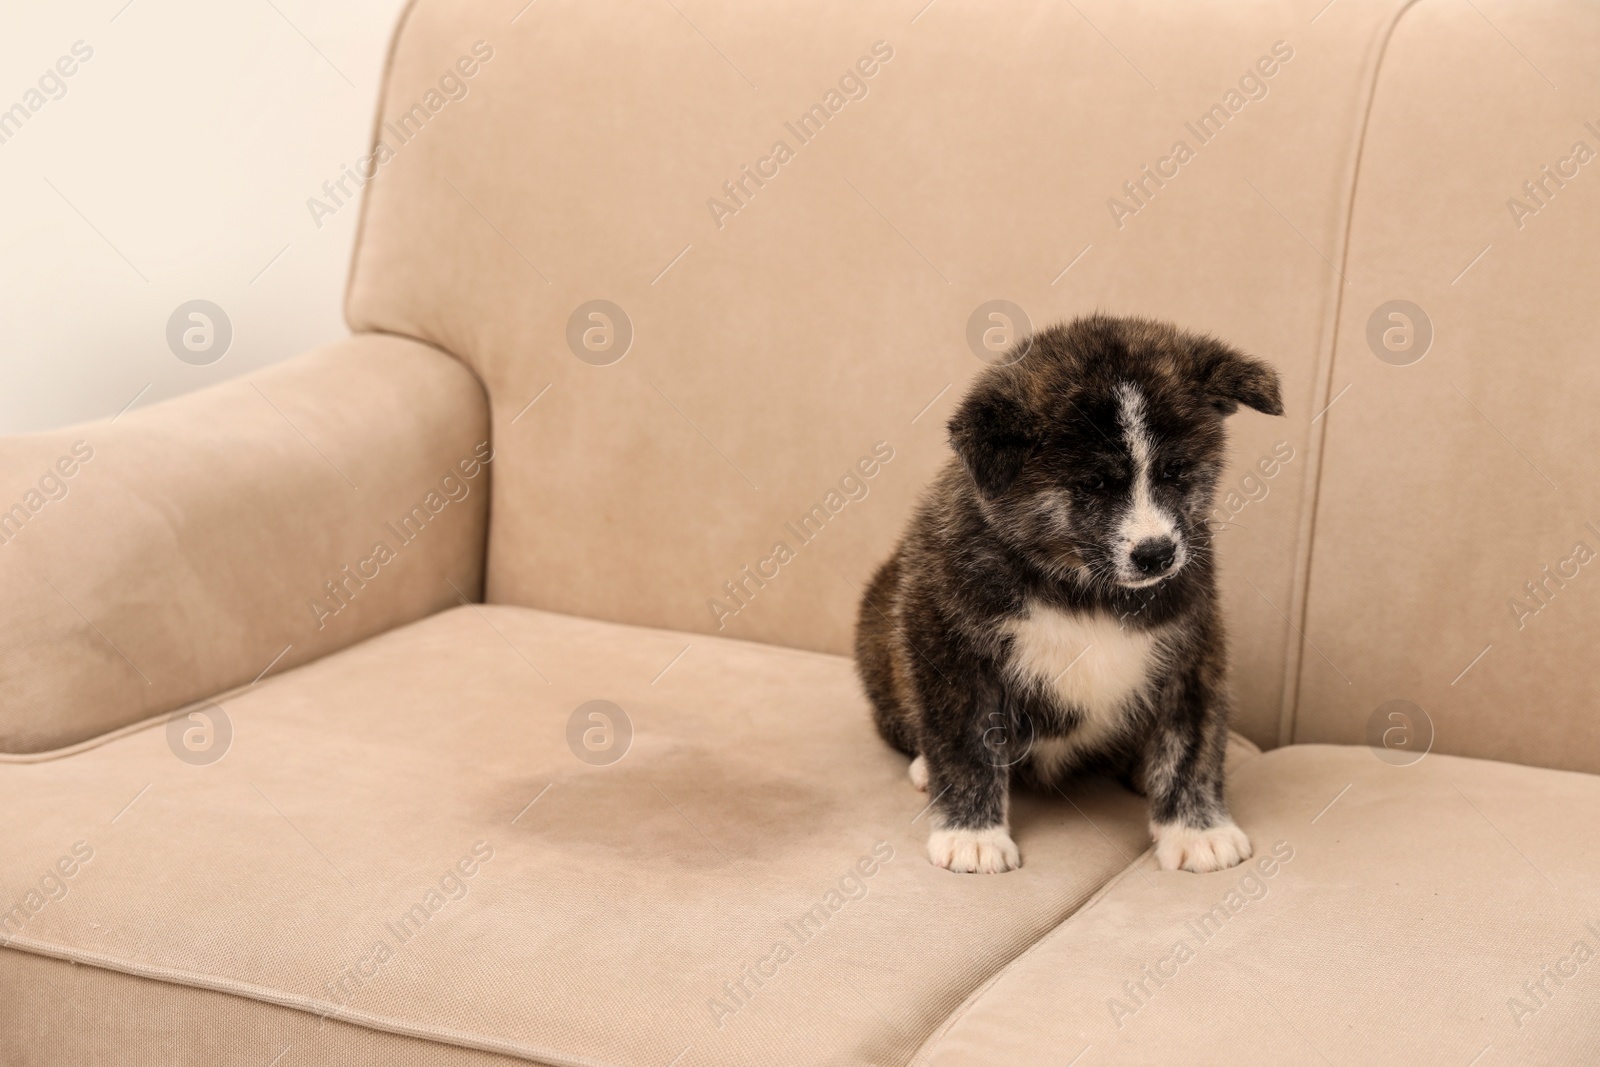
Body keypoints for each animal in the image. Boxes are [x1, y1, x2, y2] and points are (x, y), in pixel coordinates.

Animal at [857, 315, 1280, 876]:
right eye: (1095, 483)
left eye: (1175, 472)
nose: (1156, 554)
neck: (1082, 589)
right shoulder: (946, 641)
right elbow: (965, 743)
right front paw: (973, 833)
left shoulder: (1192, 645)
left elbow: (1191, 741)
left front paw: (1197, 830)